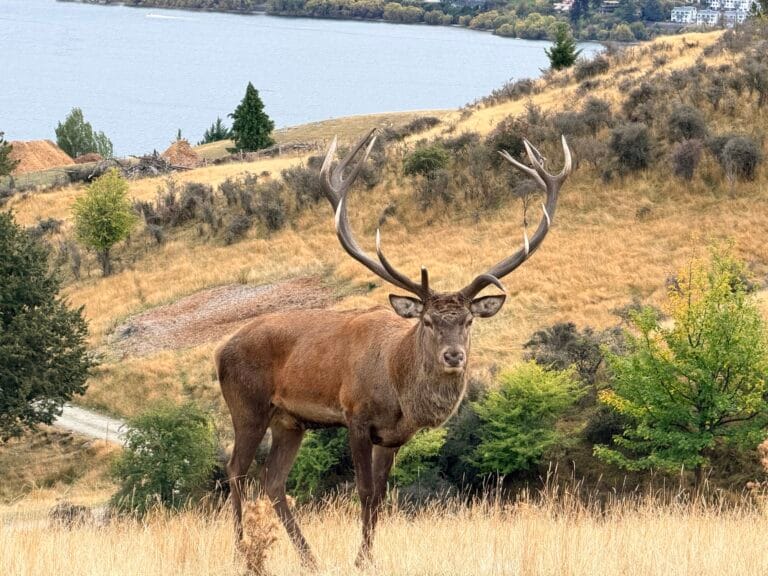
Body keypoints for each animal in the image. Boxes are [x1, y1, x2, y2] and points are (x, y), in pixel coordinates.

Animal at [216, 129, 572, 569]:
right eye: (428, 321)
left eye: (468, 321)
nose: (454, 356)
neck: (398, 387)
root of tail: (218, 352)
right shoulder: (355, 415)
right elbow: (364, 492)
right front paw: (359, 561)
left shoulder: (392, 436)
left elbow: (381, 497)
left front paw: (368, 558)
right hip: (247, 405)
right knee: (235, 470)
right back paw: (242, 553)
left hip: (290, 421)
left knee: (273, 481)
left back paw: (309, 558)